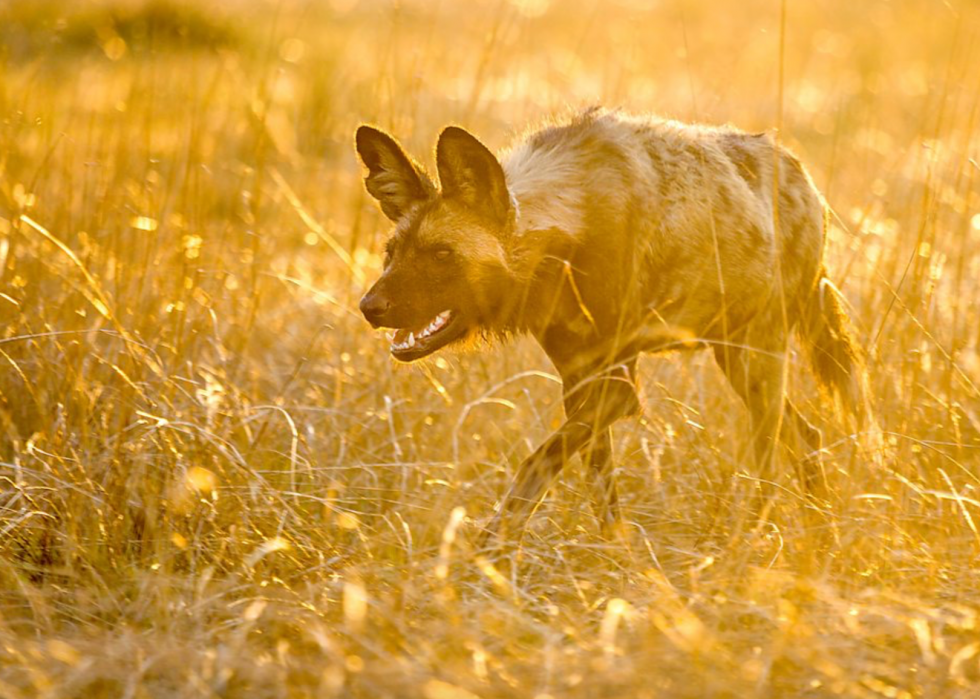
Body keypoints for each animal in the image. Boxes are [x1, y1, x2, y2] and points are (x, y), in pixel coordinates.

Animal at [356, 108, 868, 540]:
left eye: (442, 255)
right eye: (391, 253)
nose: (369, 306)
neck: (562, 241)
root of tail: (805, 180)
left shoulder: (616, 389)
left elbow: (533, 468)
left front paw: (489, 552)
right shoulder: (582, 382)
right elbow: (600, 484)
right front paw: (613, 553)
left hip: (759, 358)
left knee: (769, 458)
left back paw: (749, 540)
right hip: (738, 357)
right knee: (805, 435)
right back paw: (820, 531)